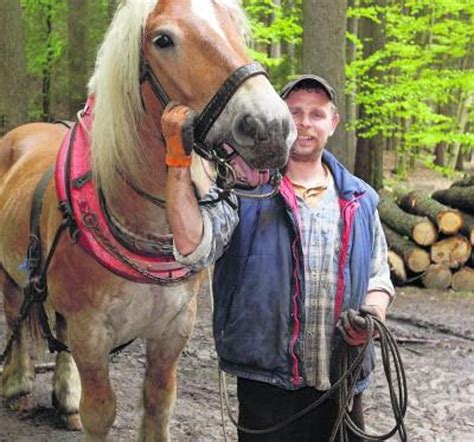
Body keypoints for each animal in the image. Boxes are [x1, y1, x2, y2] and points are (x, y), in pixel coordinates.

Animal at [0, 1, 294, 440]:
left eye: (235, 26)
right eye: (163, 40)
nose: (271, 128)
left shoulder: (173, 329)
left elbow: (159, 404)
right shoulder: (92, 332)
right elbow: (100, 411)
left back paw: (66, 399)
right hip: (10, 274)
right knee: (15, 315)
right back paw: (17, 383)